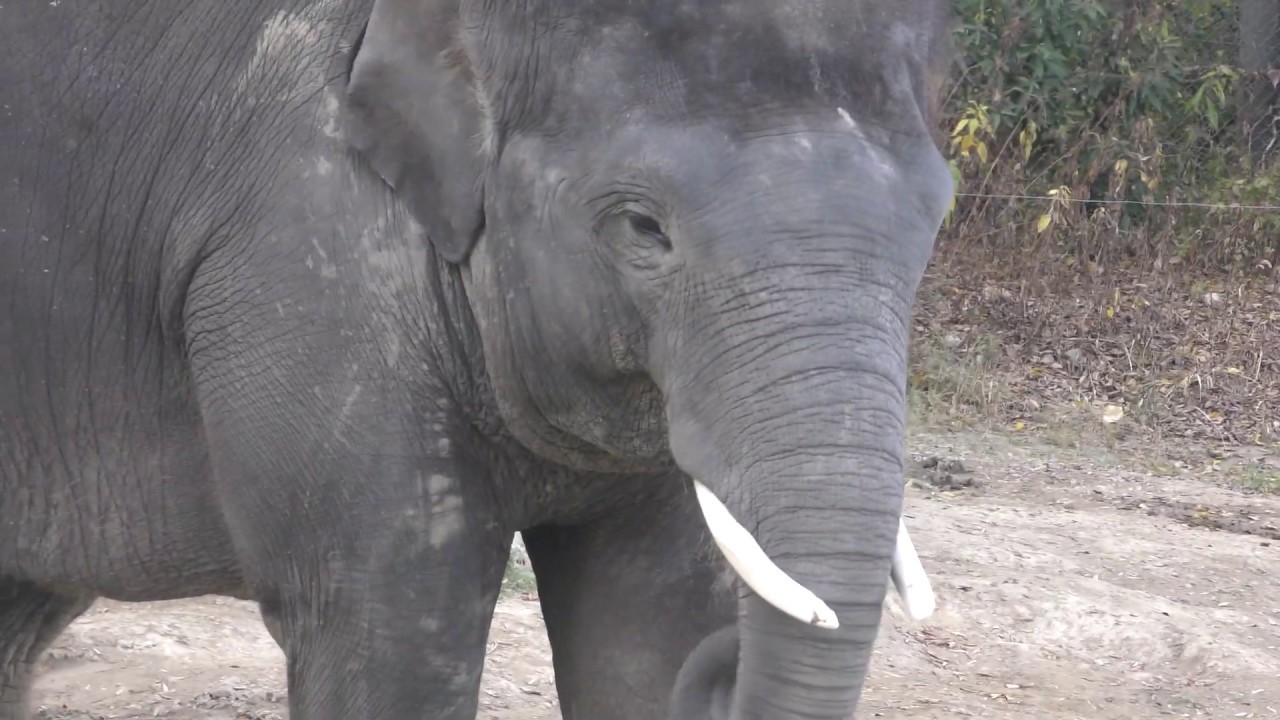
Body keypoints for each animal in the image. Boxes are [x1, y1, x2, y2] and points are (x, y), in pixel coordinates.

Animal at [0, 0, 951, 718]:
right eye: (644, 228)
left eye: (936, 216)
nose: (728, 665)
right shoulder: (308, 262)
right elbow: (394, 636)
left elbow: (648, 636)